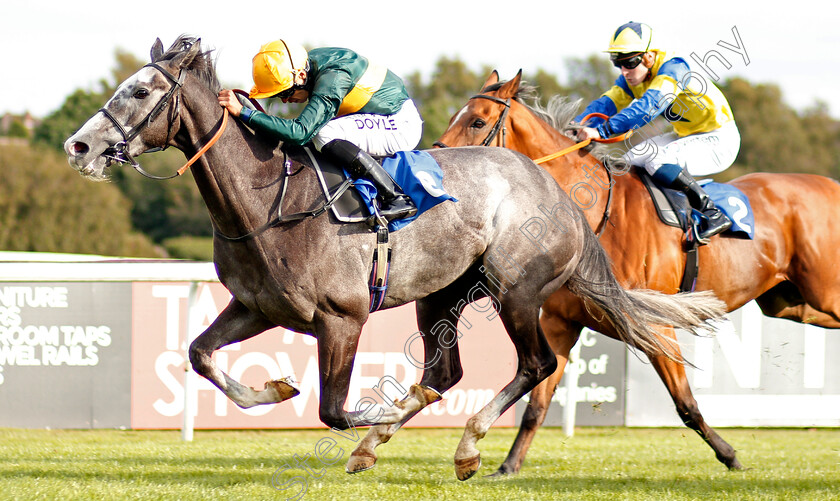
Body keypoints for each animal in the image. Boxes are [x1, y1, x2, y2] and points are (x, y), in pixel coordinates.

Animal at [420, 69, 840, 472]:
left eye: (477, 121)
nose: (435, 167)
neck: (595, 217)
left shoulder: (656, 324)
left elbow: (686, 404)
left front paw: (729, 456)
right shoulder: (560, 323)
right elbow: (537, 404)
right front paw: (506, 467)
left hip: (824, 290)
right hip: (790, 303)